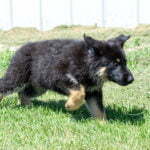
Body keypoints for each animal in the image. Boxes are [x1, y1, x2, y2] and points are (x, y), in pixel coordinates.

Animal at [0, 34, 134, 120]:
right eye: (115, 64)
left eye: (124, 62)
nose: (131, 79)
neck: (87, 63)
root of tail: (21, 48)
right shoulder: (58, 77)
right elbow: (79, 90)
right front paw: (71, 105)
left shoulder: (93, 91)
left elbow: (98, 109)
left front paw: (103, 124)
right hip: (17, 78)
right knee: (6, 87)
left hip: (39, 86)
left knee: (23, 93)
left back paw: (28, 106)